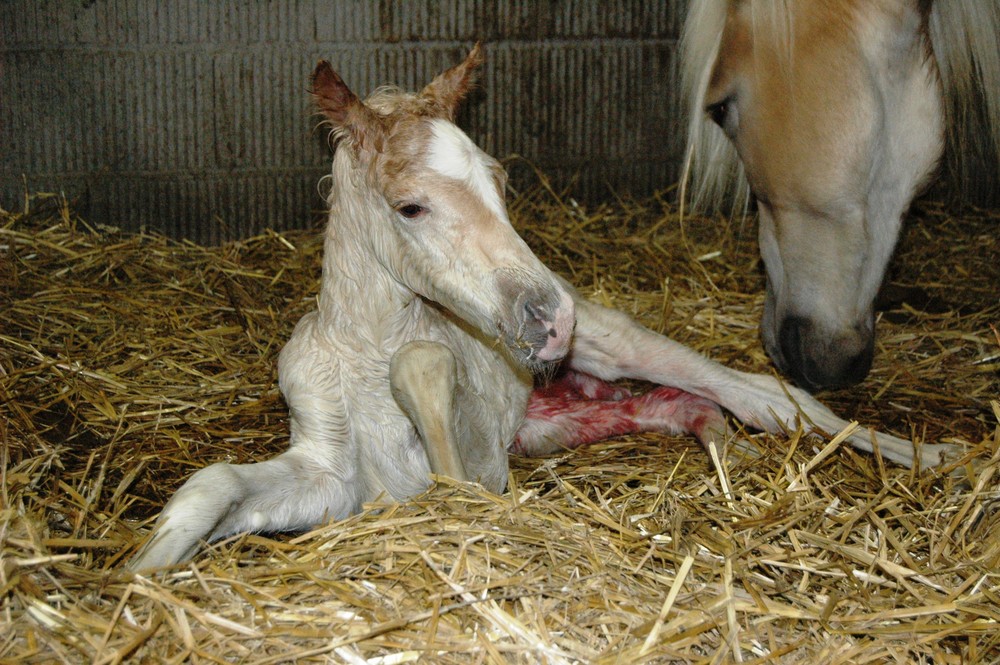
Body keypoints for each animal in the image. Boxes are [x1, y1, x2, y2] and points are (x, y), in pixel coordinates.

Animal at [129, 45, 956, 572]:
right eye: (410, 206)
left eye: (498, 179)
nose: (550, 319)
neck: (366, 356)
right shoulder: (330, 472)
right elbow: (216, 485)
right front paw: (142, 573)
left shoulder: (484, 461)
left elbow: (440, 427)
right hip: (554, 419)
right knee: (670, 406)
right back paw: (720, 443)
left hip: (618, 346)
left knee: (765, 395)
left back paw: (937, 454)